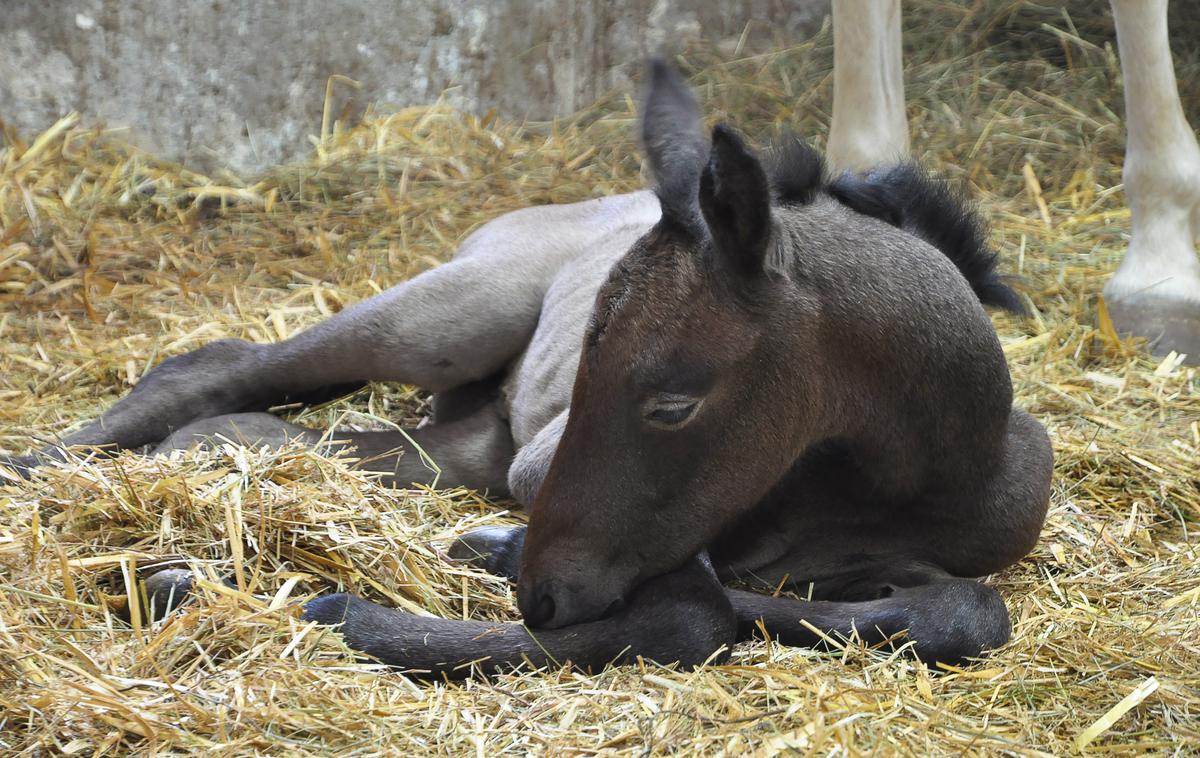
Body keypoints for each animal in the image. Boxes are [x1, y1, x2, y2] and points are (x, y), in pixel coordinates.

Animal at [7, 60, 1051, 676]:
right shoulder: (549, 475)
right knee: (213, 371)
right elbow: (691, 612)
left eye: (672, 403)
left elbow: (959, 611)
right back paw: (39, 466)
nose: (545, 592)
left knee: (266, 427)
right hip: (449, 316)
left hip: (462, 436)